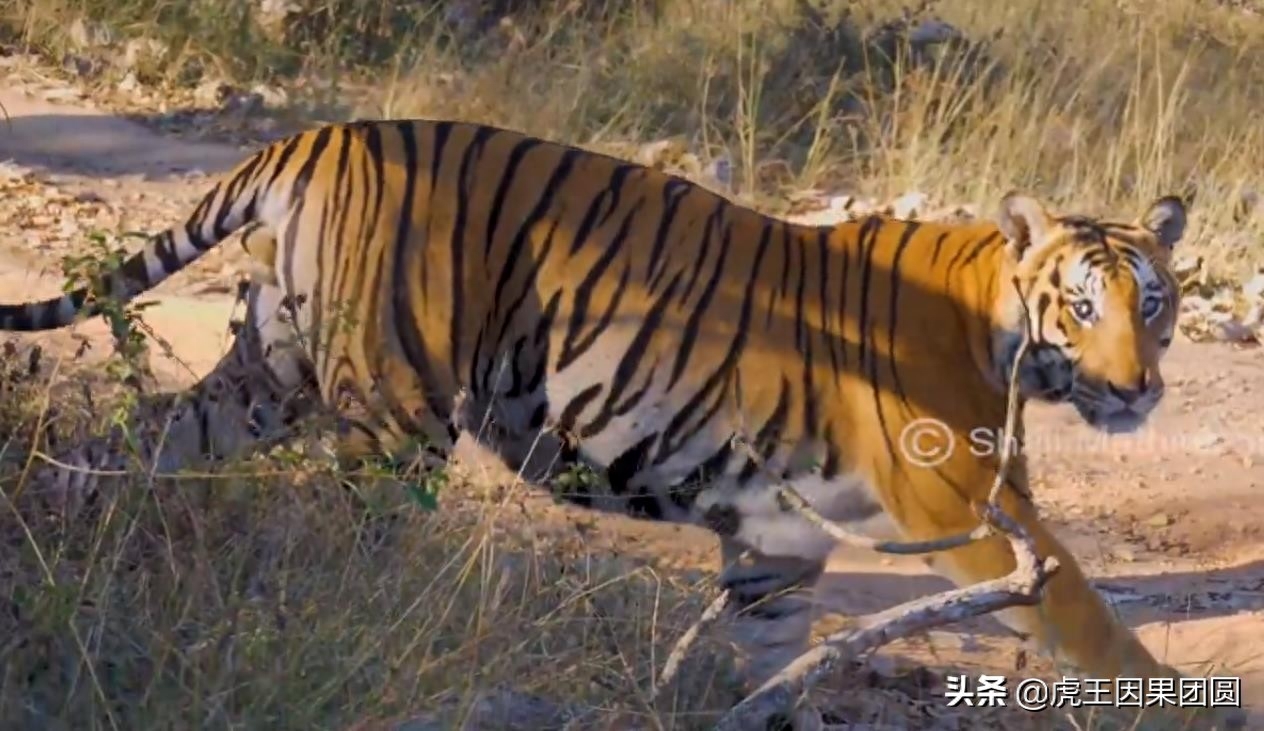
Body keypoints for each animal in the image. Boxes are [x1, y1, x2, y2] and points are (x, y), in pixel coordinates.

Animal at [0, 118, 1219, 726]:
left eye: (1155, 305)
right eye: (1084, 306)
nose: (1139, 389)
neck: (1001, 336)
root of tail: (315, 136)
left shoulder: (778, 540)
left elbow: (769, 658)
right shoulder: (965, 507)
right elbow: (1093, 621)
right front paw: (1181, 710)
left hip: (267, 376)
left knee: (128, 442)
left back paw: (54, 530)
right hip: (388, 415)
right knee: (346, 560)